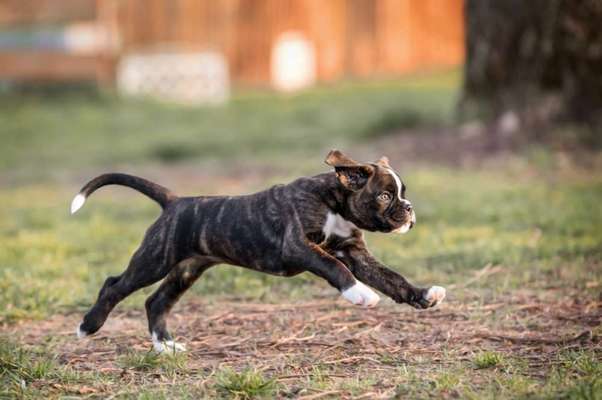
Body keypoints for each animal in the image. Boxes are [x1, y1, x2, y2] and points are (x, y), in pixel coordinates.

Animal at [72, 151, 442, 354]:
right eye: (384, 196)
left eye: (403, 193)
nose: (409, 209)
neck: (334, 201)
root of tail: (175, 201)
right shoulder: (299, 247)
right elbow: (332, 266)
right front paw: (360, 294)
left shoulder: (356, 253)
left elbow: (391, 278)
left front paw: (423, 295)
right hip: (155, 260)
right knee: (114, 285)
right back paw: (89, 326)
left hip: (188, 268)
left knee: (156, 301)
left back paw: (166, 346)